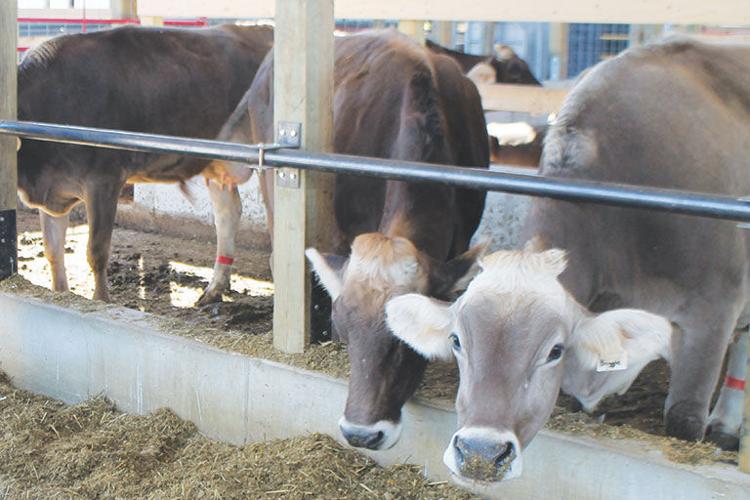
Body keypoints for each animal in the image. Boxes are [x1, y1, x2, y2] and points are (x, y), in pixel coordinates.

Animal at [16, 24, 273, 301]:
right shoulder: (53, 186)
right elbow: (53, 249)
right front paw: (60, 293)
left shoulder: (104, 180)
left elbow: (97, 251)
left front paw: (102, 300)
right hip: (217, 165)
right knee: (228, 213)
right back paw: (213, 289)